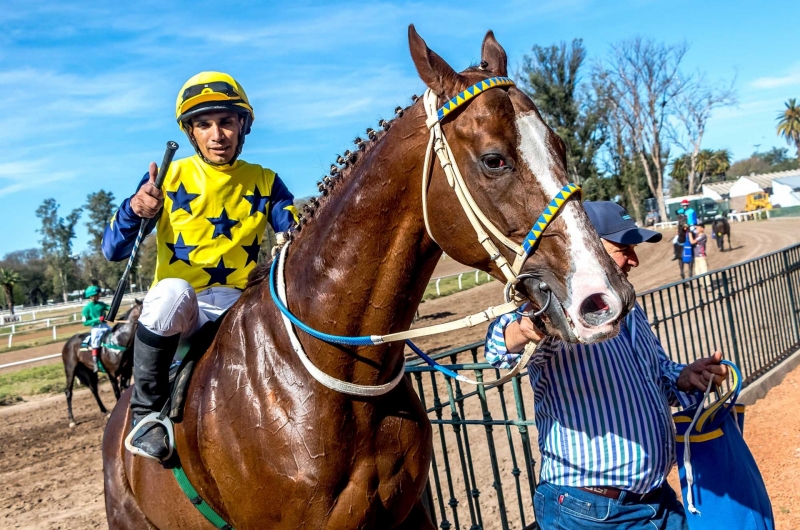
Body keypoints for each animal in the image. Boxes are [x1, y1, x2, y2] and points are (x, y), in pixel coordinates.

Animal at [103, 27, 636, 528]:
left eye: (559, 146)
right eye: (494, 159)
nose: (604, 298)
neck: (334, 382)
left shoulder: (407, 514)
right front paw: (142, 202)